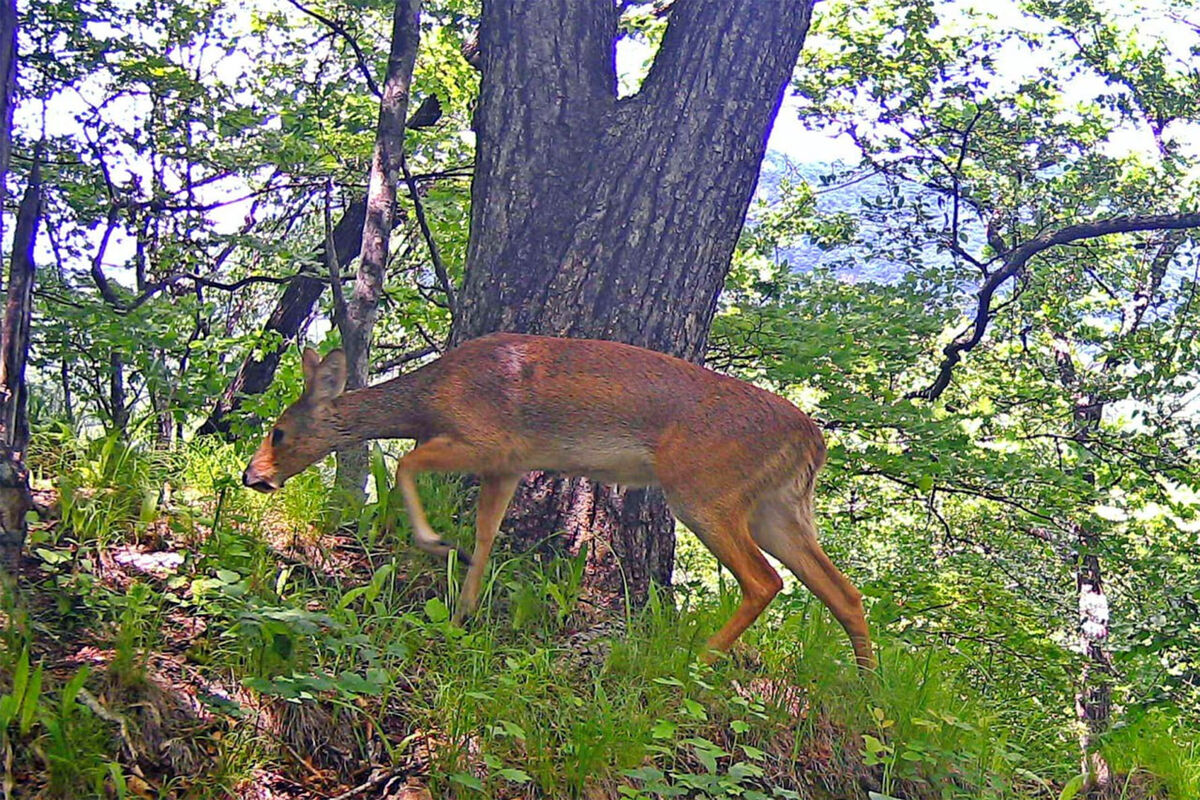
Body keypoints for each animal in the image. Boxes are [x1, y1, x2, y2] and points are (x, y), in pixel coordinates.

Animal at [238, 331, 873, 671]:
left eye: (278, 432)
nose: (251, 476)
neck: (429, 397)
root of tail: (814, 441)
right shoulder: (508, 465)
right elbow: (486, 534)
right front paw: (463, 612)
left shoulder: (487, 439)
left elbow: (406, 466)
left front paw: (433, 542)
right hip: (778, 507)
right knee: (843, 590)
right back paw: (868, 687)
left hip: (705, 489)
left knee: (766, 581)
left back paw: (697, 660)